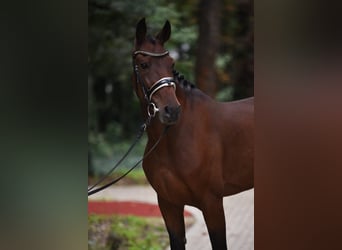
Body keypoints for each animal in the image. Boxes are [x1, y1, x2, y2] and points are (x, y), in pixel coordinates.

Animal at [132, 18, 252, 249]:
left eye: (171, 64)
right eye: (144, 65)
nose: (172, 110)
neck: (172, 139)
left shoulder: (212, 202)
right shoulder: (168, 204)